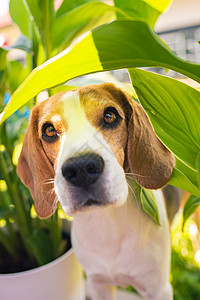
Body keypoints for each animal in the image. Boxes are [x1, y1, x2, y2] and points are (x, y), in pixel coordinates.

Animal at [17, 83, 174, 300]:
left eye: (110, 115)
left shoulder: (158, 289)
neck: (107, 222)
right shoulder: (97, 284)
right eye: (48, 130)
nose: (81, 168)